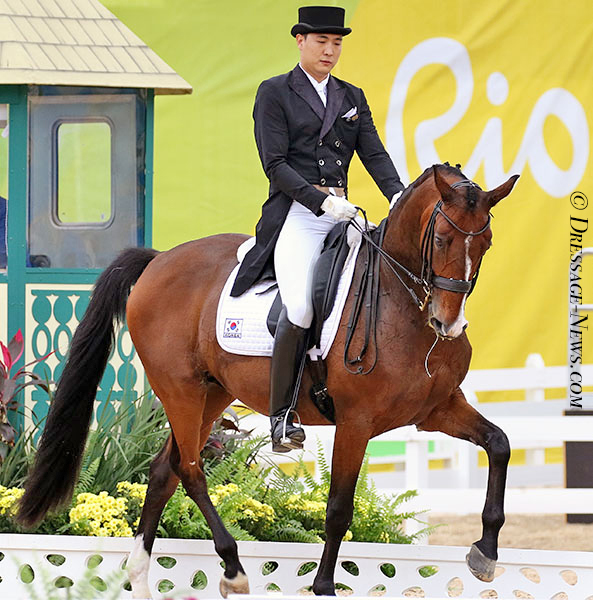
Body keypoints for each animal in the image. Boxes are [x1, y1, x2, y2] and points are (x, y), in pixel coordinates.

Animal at [16, 163, 520, 596]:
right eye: (441, 238)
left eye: (488, 242)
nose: (447, 323)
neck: (402, 304)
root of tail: (159, 261)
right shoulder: (356, 423)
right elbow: (338, 508)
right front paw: (323, 586)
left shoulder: (436, 410)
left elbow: (499, 444)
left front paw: (485, 553)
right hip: (179, 389)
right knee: (190, 469)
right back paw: (233, 568)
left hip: (212, 394)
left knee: (164, 471)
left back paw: (139, 577)